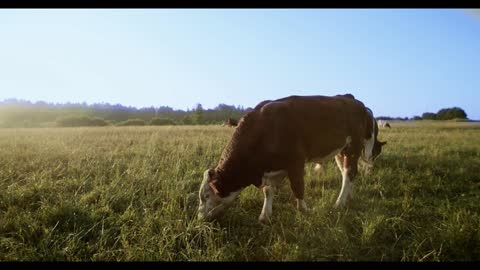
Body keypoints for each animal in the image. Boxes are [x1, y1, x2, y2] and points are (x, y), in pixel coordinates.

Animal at [196, 94, 386, 224]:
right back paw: (348, 196)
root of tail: (354, 100)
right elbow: (268, 191)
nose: (199, 218)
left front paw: (305, 210)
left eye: (206, 196)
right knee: (348, 173)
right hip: (342, 151)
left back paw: (339, 203)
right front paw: (265, 215)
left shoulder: (296, 163)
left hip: (353, 147)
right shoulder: (272, 169)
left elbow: (298, 188)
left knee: (349, 173)